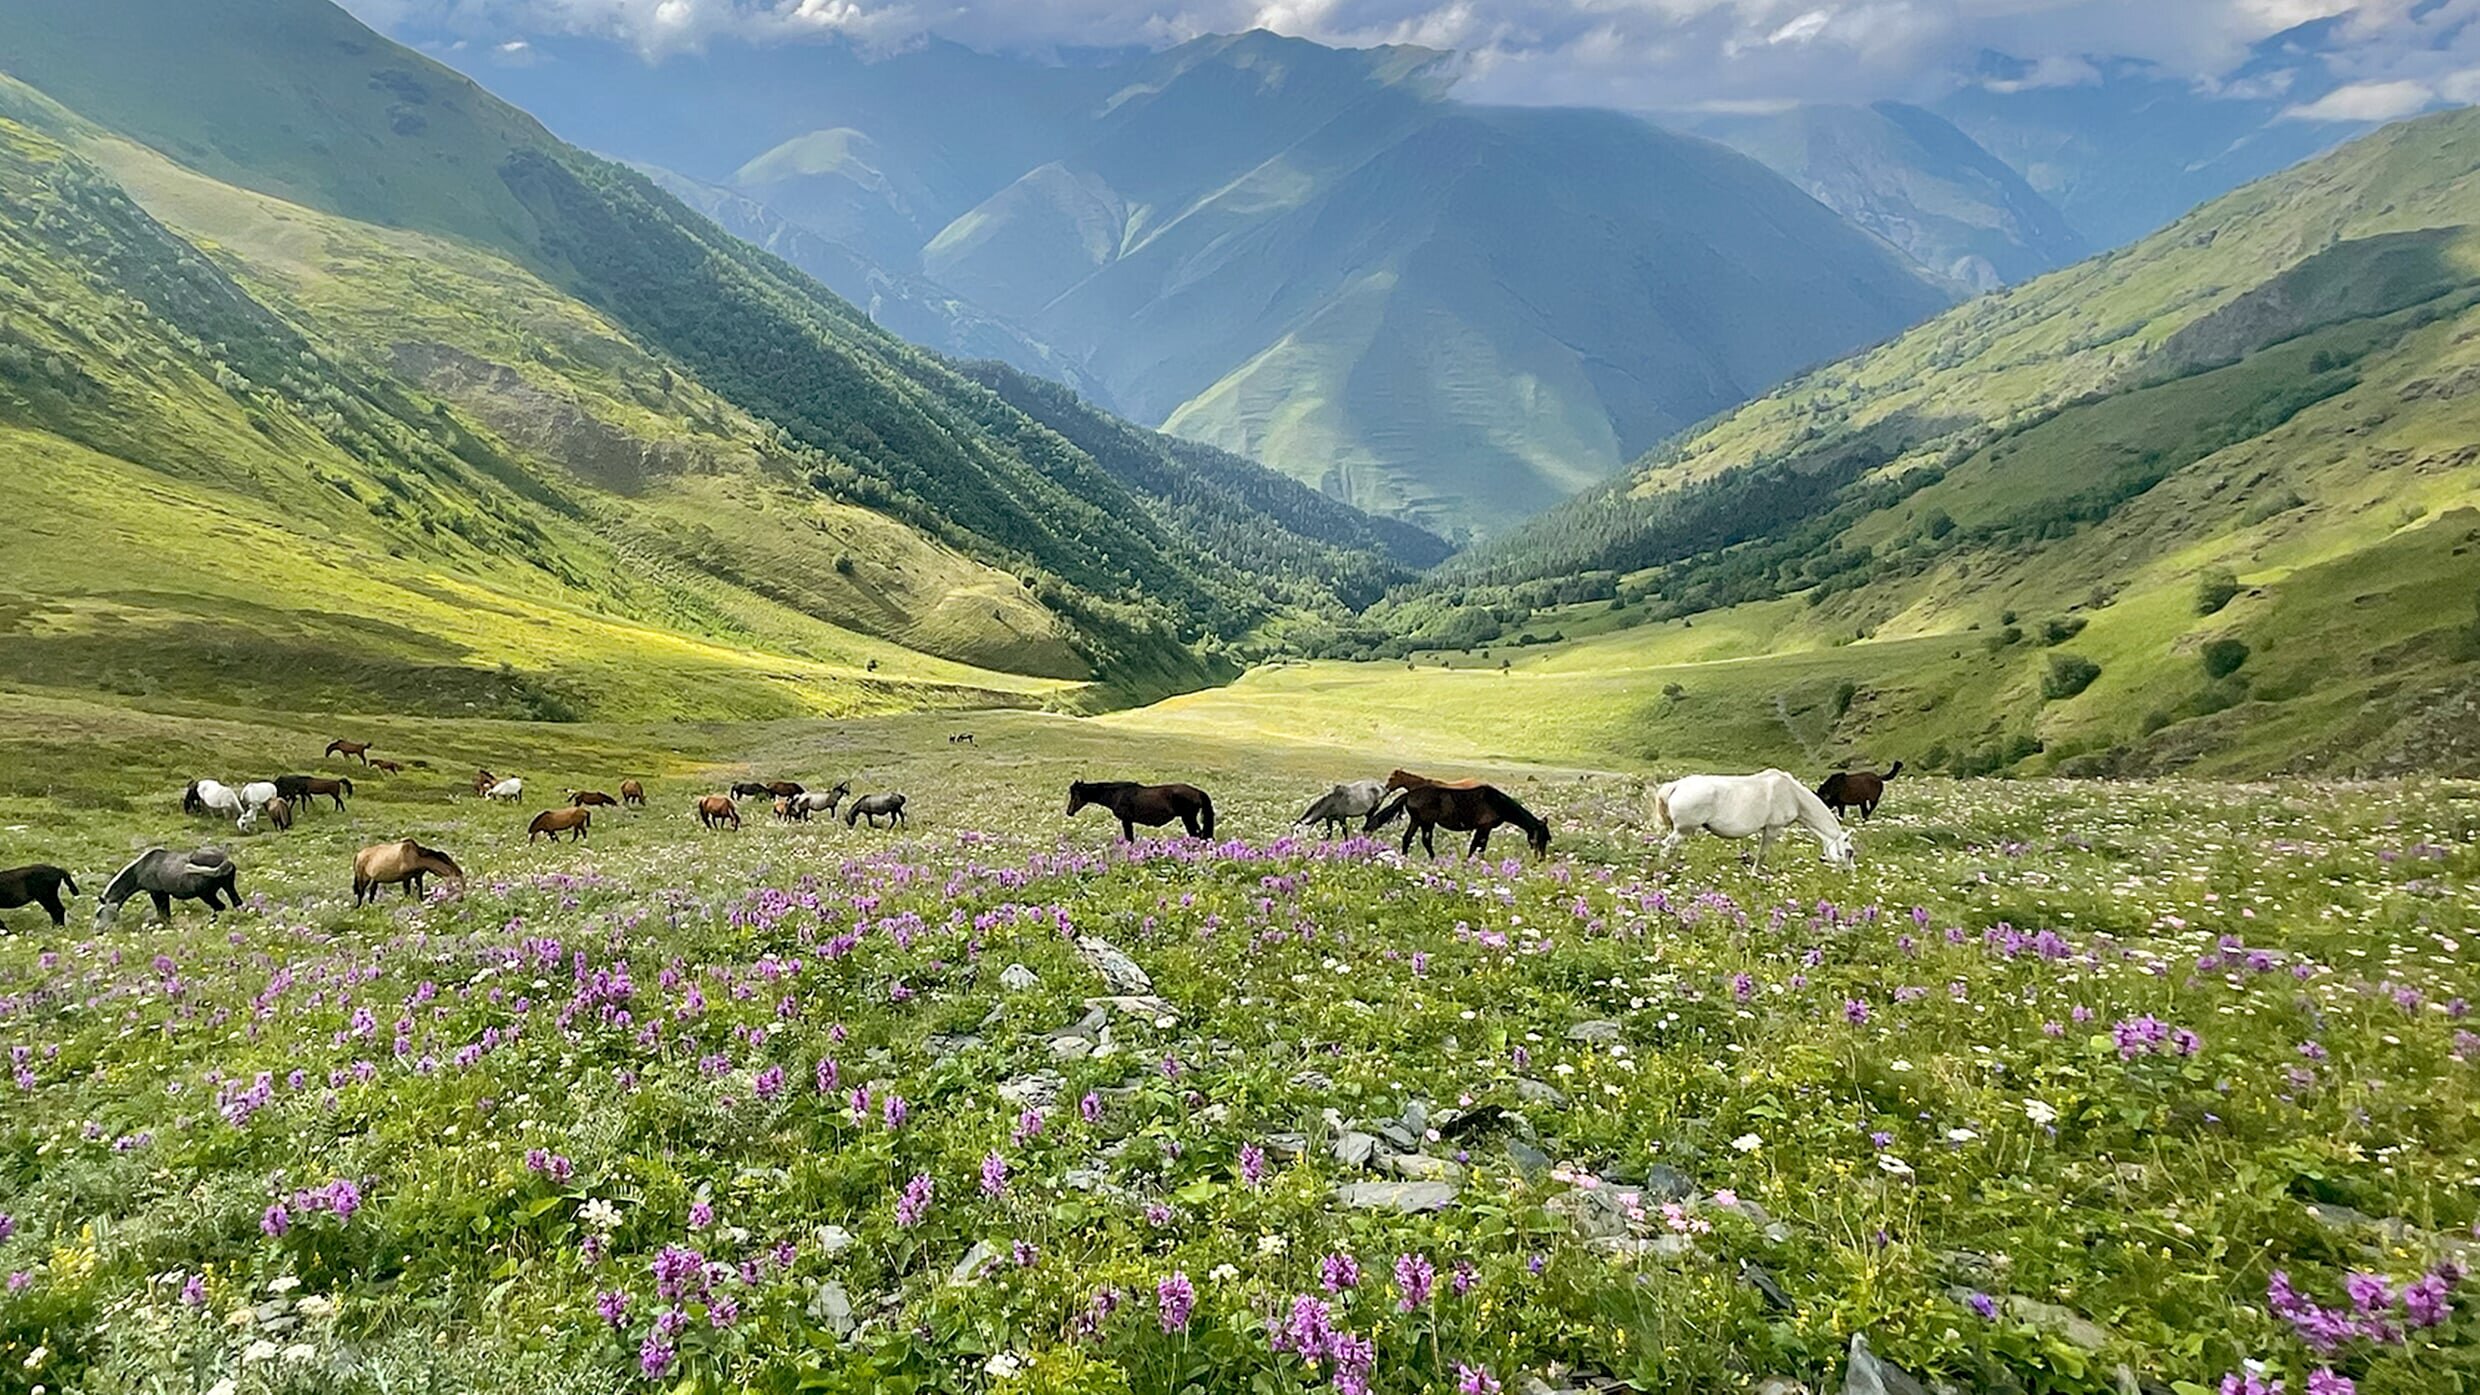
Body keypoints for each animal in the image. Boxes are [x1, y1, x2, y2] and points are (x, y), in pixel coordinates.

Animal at [94, 848, 239, 923]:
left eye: (99, 913)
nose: (98, 931)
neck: (139, 870)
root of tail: (225, 860)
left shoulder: (157, 892)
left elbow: (162, 912)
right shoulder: (163, 893)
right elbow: (165, 914)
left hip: (206, 894)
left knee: (220, 907)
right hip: (228, 886)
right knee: (236, 903)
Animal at [1071, 774, 1215, 843]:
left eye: (1075, 794)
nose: (1069, 812)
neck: (1117, 794)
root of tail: (1198, 792)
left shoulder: (1126, 821)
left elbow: (1129, 839)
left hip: (1188, 818)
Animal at [1359, 784, 1547, 858]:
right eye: (1542, 837)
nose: (1540, 859)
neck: (1497, 803)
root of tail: (1409, 794)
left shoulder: (1484, 829)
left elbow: (1478, 846)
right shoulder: (1484, 828)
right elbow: (1477, 846)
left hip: (1417, 821)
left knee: (1407, 838)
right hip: (1427, 822)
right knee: (1426, 840)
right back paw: (1433, 858)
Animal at [1656, 764, 1855, 863]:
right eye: (1849, 852)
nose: (1849, 872)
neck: (1793, 795)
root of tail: (1676, 785)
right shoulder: (1773, 828)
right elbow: (1762, 855)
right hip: (1683, 830)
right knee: (1666, 848)